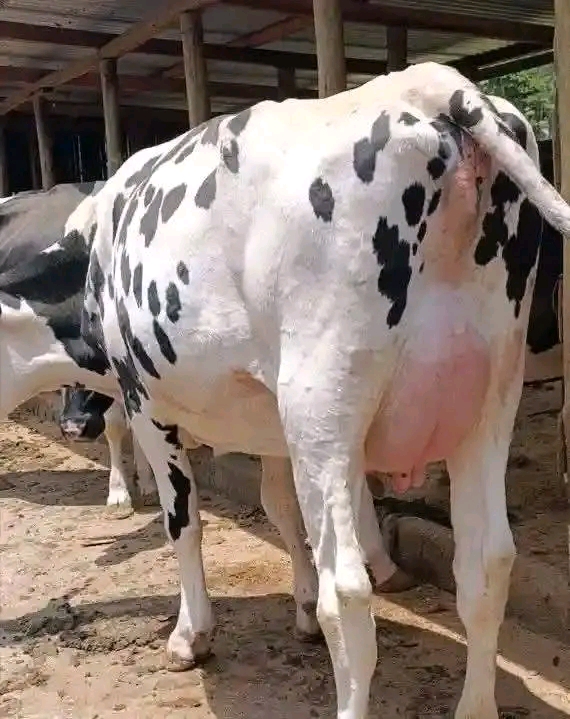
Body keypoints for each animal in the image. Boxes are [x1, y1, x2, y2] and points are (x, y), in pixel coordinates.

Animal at [68, 62, 570, 719]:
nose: (72, 422)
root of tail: (433, 85)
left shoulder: (145, 399)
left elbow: (185, 521)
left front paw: (191, 634)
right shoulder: (270, 420)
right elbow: (279, 508)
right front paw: (299, 608)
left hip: (321, 397)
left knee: (351, 592)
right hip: (490, 396)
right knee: (487, 564)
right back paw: (474, 705)